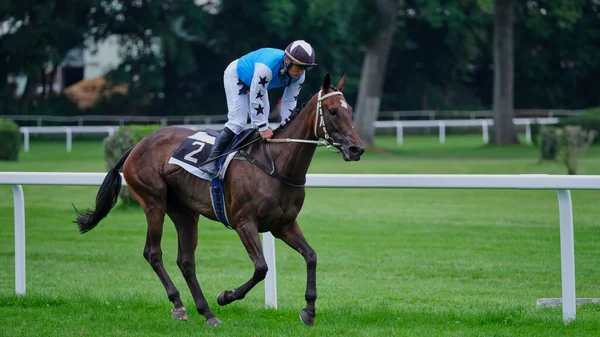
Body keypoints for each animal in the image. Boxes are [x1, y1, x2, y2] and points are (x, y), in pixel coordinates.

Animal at [75, 71, 366, 326]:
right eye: (332, 111)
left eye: (350, 109)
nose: (357, 149)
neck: (276, 164)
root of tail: (137, 144)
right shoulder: (244, 222)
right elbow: (261, 268)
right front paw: (226, 296)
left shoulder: (283, 225)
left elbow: (311, 256)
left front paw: (309, 310)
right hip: (153, 202)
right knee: (153, 253)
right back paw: (179, 304)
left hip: (185, 212)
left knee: (186, 261)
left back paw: (206, 312)